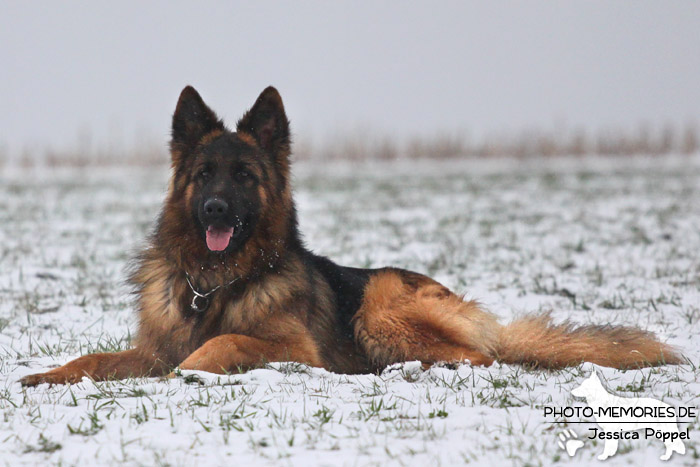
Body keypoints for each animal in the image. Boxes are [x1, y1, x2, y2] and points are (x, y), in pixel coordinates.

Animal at [17, 85, 684, 388]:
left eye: (244, 176)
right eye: (204, 174)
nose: (213, 210)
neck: (215, 285)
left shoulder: (293, 348)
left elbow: (227, 341)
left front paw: (195, 369)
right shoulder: (151, 348)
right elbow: (95, 358)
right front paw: (46, 376)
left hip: (380, 302)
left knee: (479, 356)